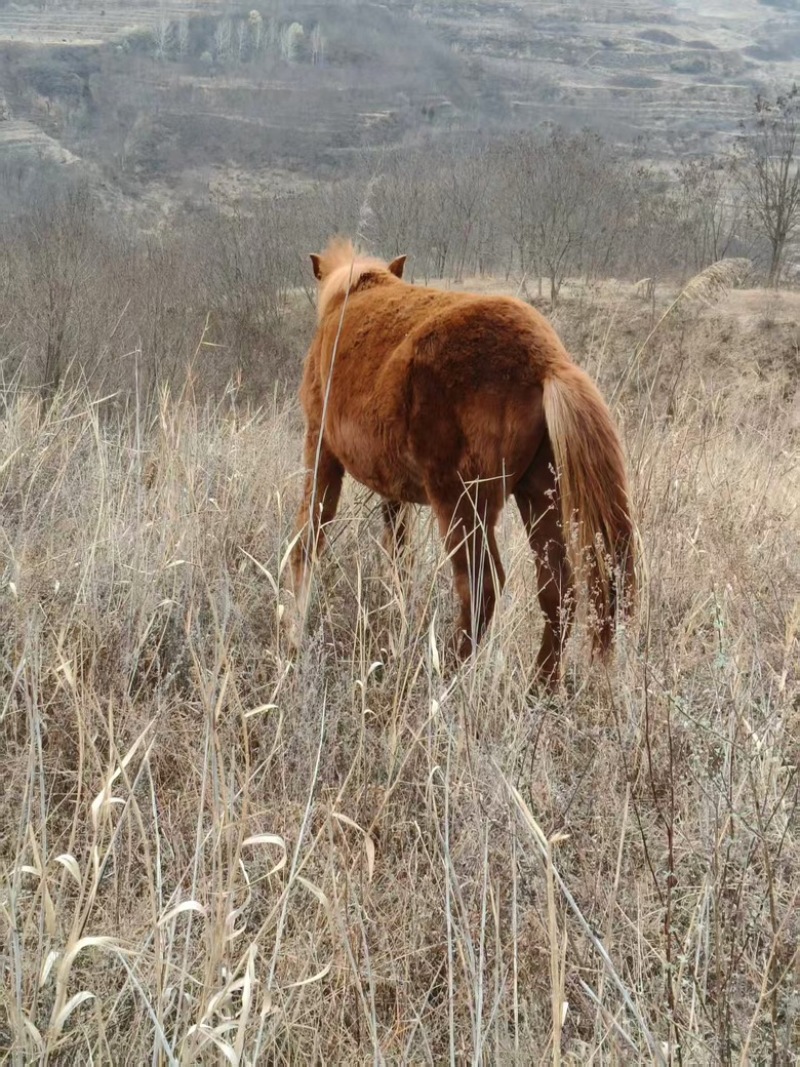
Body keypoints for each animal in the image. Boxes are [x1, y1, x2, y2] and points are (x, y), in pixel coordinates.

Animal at [288, 238, 636, 690]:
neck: (351, 294)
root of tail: (545, 361)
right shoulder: (393, 491)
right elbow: (399, 554)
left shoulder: (321, 449)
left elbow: (309, 535)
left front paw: (293, 632)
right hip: (539, 494)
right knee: (557, 589)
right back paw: (542, 686)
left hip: (461, 503)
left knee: (481, 587)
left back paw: (447, 675)